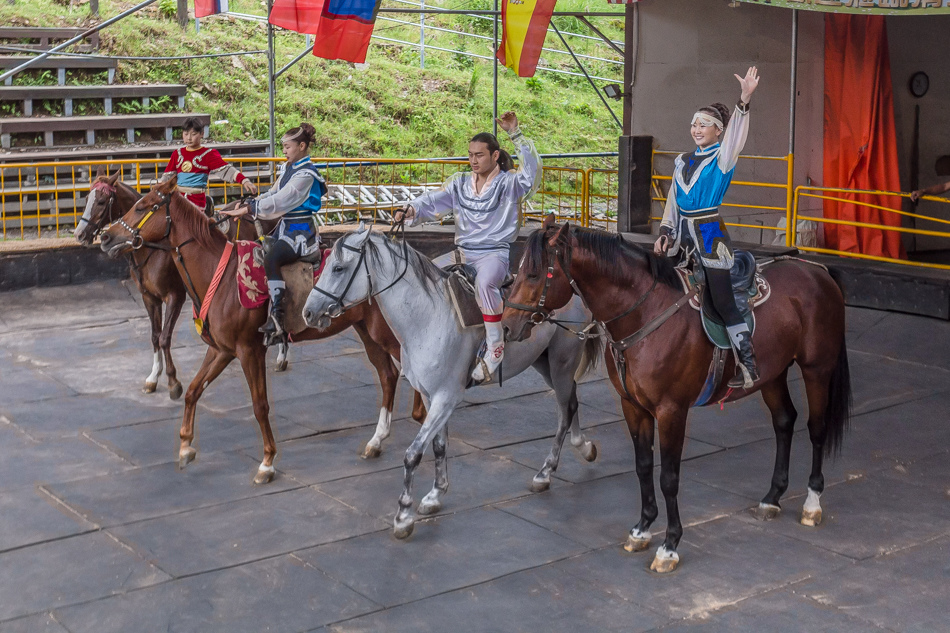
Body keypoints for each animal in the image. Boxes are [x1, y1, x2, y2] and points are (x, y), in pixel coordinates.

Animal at [98, 175, 422, 482]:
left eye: (144, 206)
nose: (106, 236)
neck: (221, 276)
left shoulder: (249, 351)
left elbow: (259, 404)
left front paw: (267, 462)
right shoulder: (221, 349)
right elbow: (193, 391)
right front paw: (186, 445)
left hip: (386, 333)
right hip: (367, 332)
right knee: (388, 374)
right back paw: (378, 440)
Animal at [304, 227, 604, 540]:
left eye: (339, 268)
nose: (308, 312)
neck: (426, 318)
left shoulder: (446, 397)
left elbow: (413, 454)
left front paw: (403, 516)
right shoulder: (430, 396)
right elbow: (438, 446)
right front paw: (435, 495)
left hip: (562, 361)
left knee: (564, 411)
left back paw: (545, 472)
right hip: (544, 363)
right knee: (571, 402)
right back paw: (584, 447)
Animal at [506, 216, 856, 572]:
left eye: (533, 273)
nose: (507, 326)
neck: (646, 314)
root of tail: (817, 270)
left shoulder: (671, 411)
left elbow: (669, 477)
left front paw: (669, 545)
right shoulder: (633, 407)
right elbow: (643, 466)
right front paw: (642, 529)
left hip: (816, 369)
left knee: (816, 429)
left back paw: (812, 503)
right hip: (772, 375)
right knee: (785, 421)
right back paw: (772, 498)